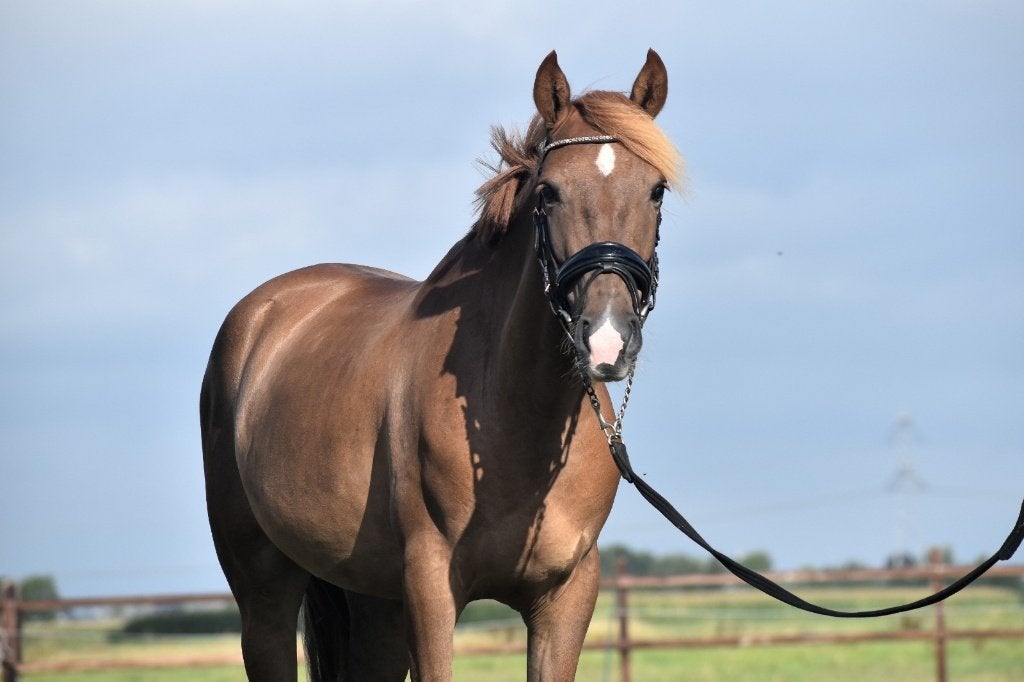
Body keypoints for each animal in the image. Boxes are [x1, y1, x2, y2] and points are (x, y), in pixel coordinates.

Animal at [201, 49, 683, 681]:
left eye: (657, 190)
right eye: (548, 192)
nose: (606, 339)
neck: (512, 416)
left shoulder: (567, 596)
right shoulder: (430, 589)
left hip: (372, 600)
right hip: (265, 594)